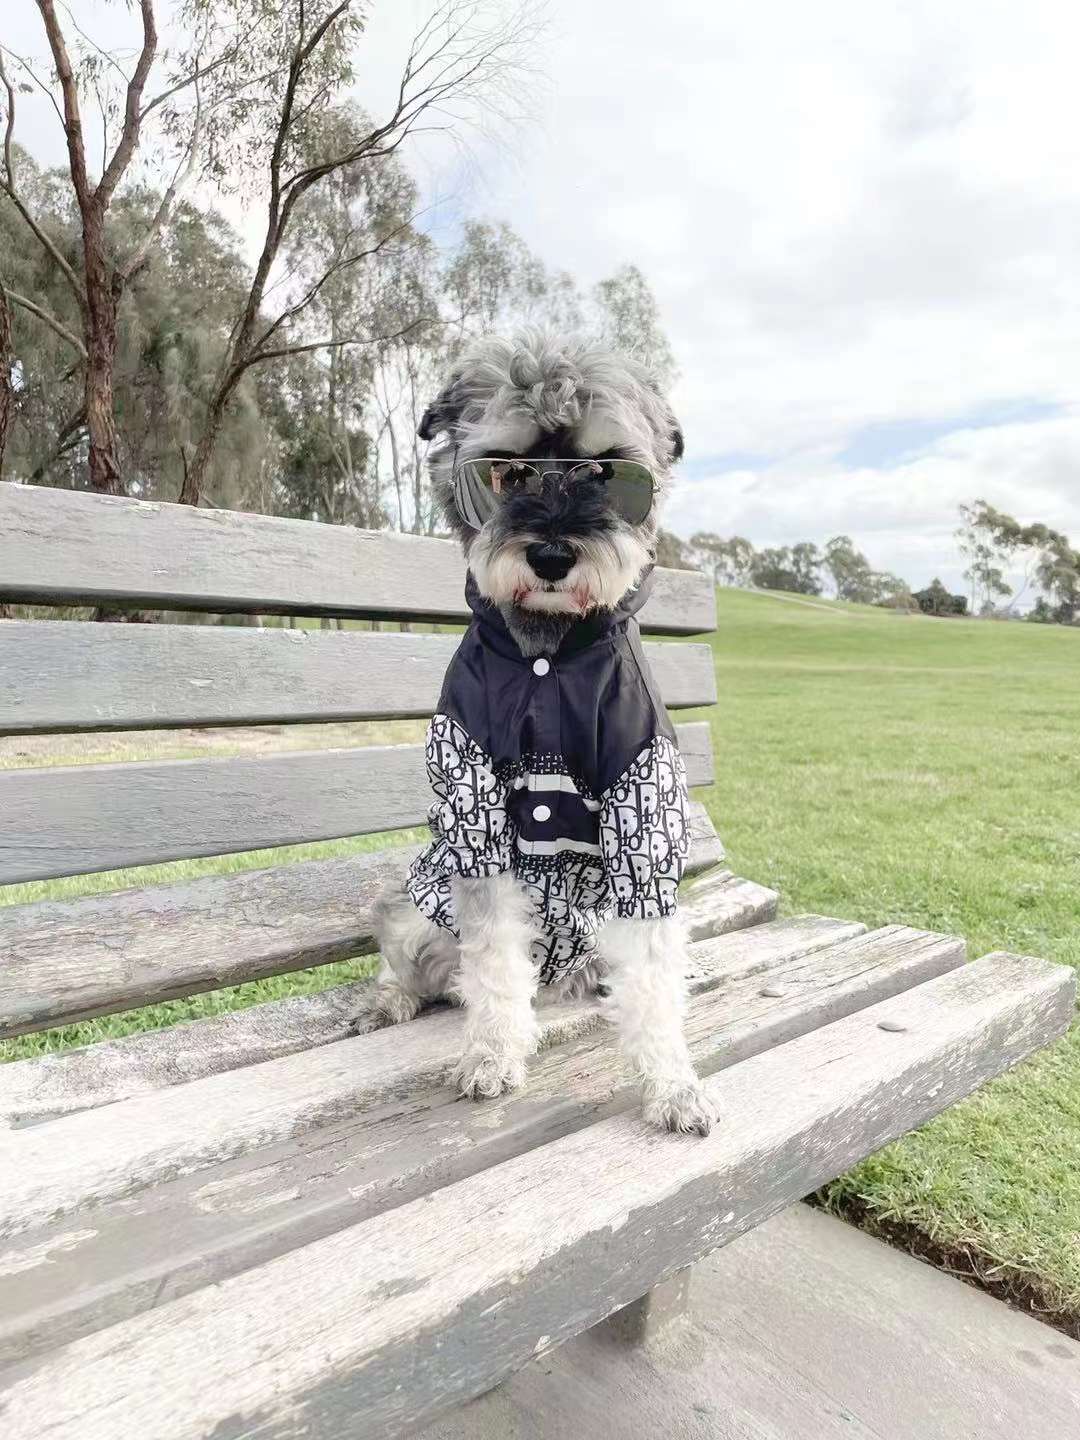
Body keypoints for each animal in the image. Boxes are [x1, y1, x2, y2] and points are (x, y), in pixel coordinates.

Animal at [364, 326, 720, 1134]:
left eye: (607, 470)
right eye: (508, 469)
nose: (554, 556)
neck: (548, 654)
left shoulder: (642, 815)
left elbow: (653, 979)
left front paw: (673, 1085)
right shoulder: (474, 816)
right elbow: (495, 964)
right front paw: (492, 1057)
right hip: (416, 902)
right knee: (414, 962)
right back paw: (391, 1001)